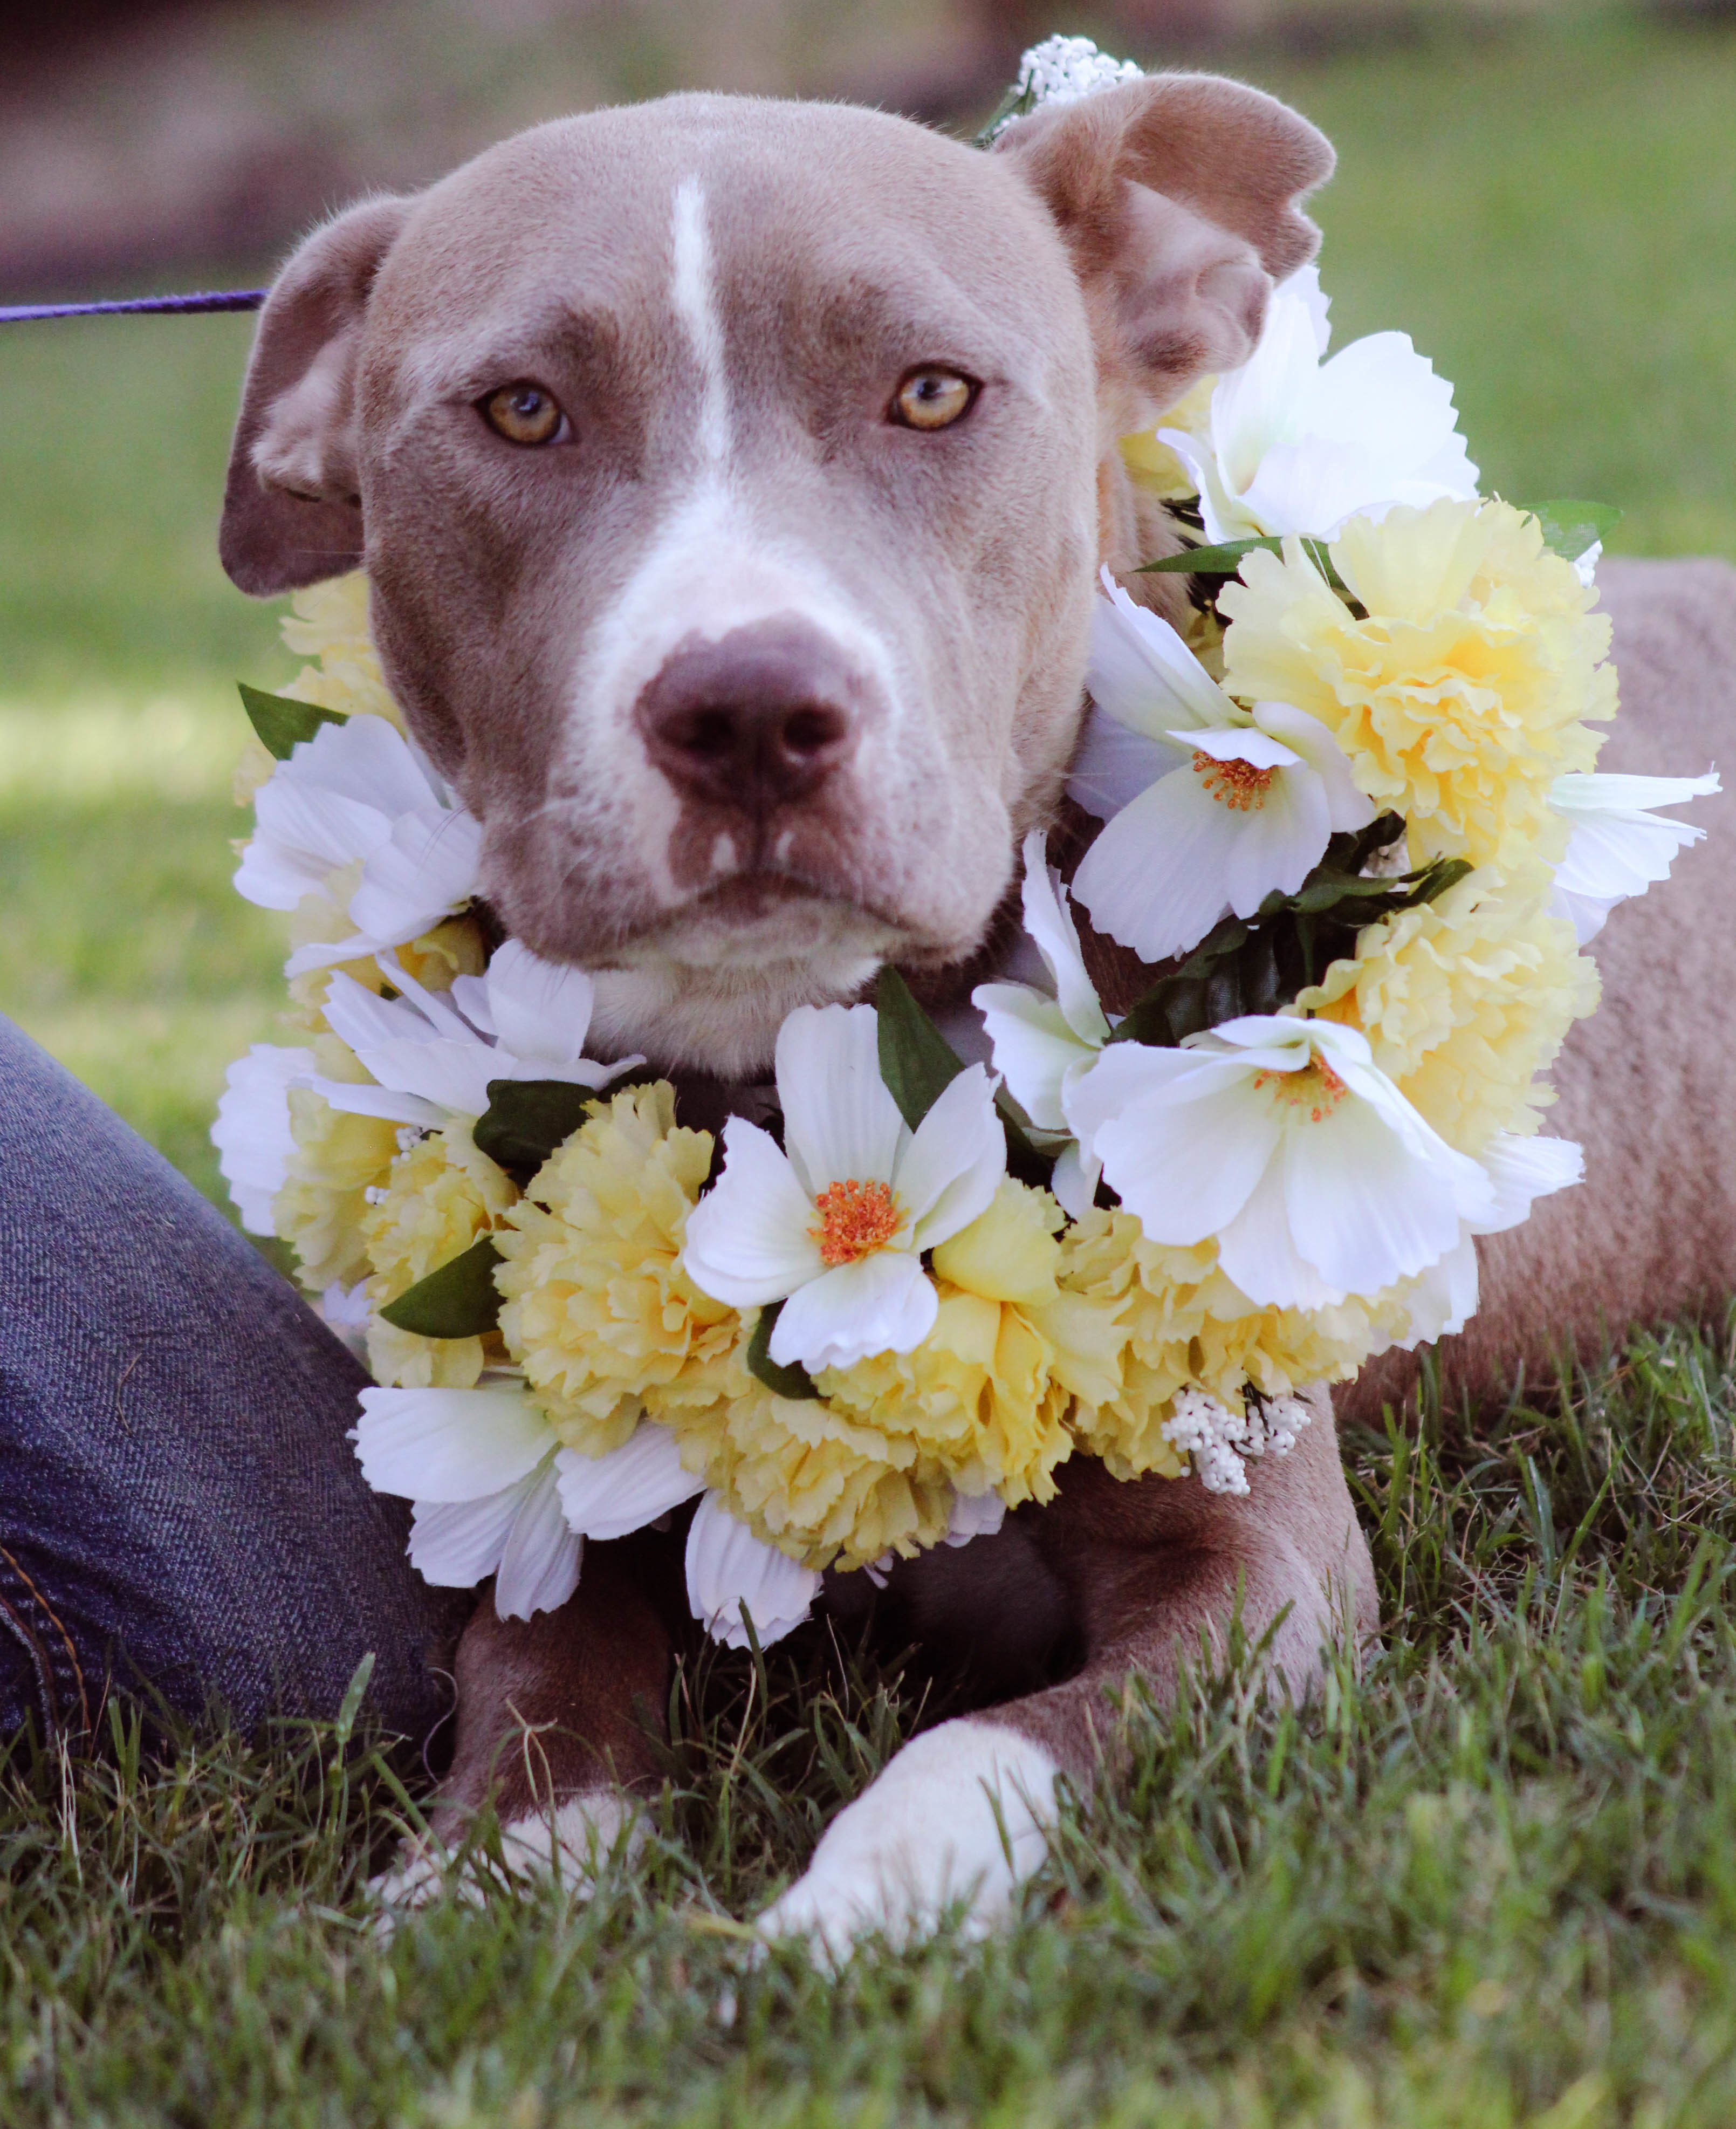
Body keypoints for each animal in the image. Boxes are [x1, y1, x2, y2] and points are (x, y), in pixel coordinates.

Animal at [214, 79, 1736, 1950]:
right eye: (519, 410)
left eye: (933, 390)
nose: (747, 704)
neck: (797, 1058)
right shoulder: (552, 1508)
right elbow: (535, 1670)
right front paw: (484, 1879)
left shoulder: (1266, 1577)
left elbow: (990, 1746)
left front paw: (848, 1912)